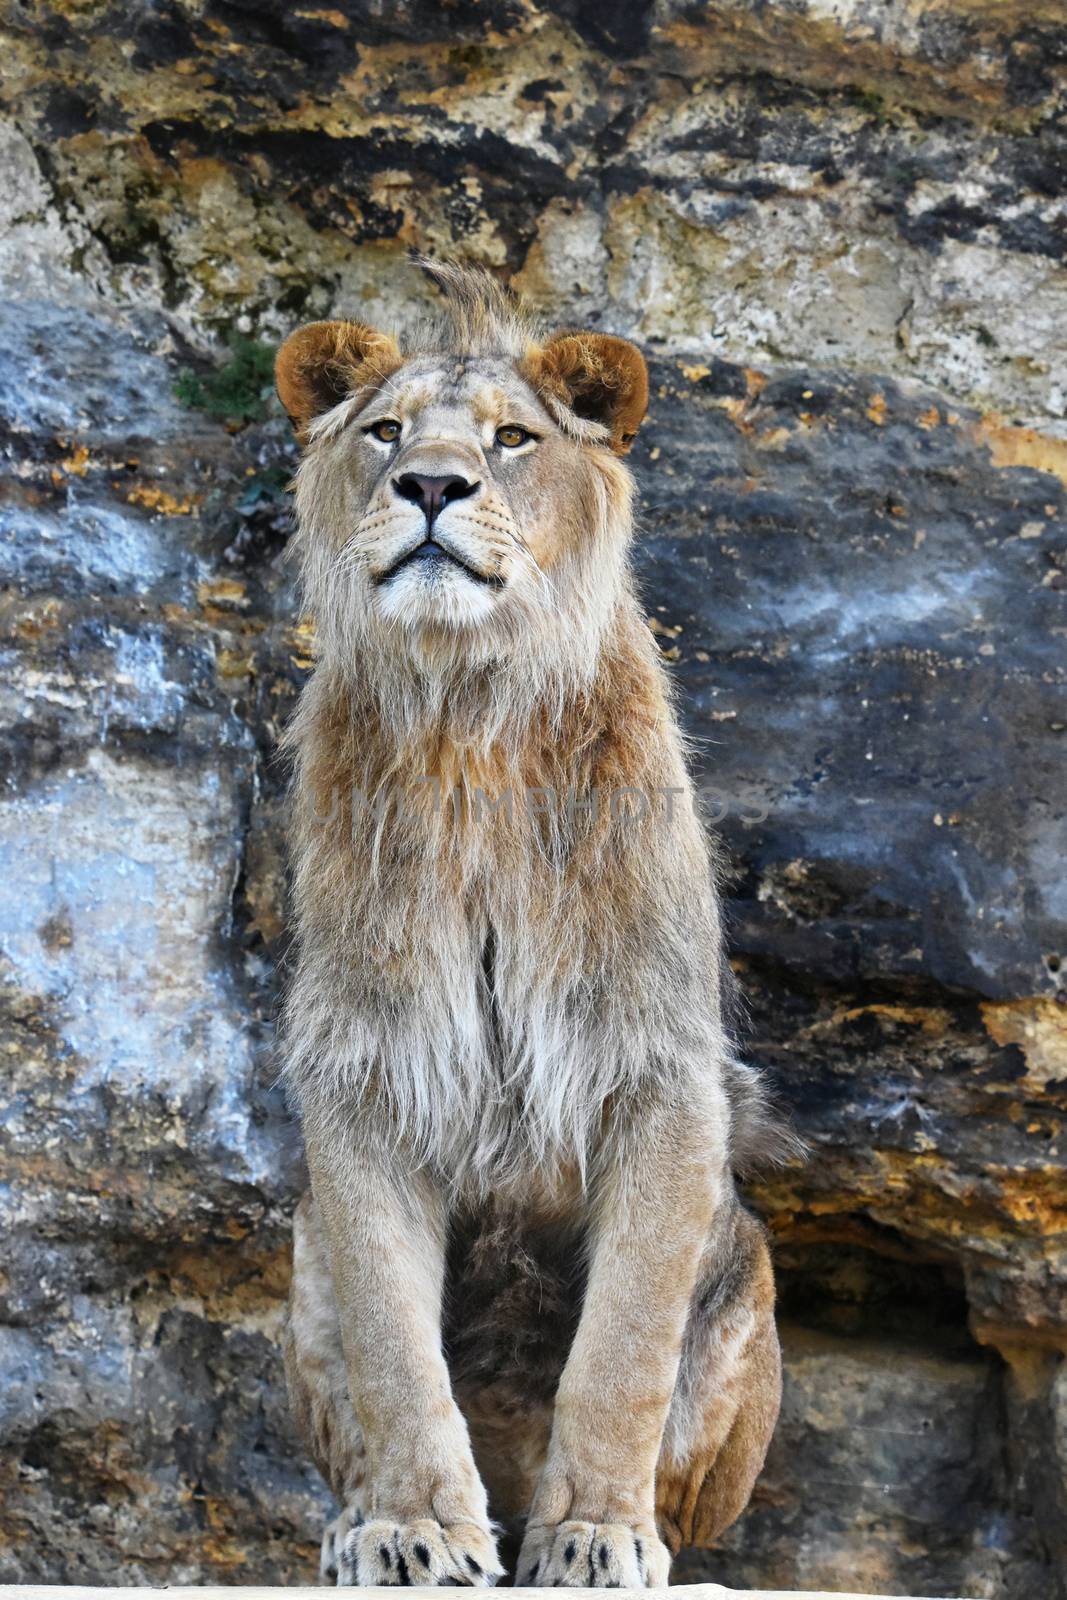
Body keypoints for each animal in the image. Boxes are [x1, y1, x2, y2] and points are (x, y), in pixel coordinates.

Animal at [273, 262, 793, 1587]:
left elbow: (620, 1352)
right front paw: (412, 1530)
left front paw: (597, 1535)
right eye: (384, 431)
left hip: (747, 1266)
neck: (468, 720)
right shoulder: (366, 1065)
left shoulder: (659, 1068)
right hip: (299, 1248)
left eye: (511, 439)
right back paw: (354, 1523)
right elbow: (395, 1351)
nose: (430, 486)